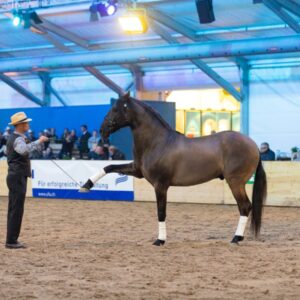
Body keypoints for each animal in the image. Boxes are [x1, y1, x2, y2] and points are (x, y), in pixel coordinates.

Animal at [79, 92, 268, 246]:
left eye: (116, 109)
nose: (102, 130)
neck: (157, 142)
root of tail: (253, 145)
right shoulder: (137, 171)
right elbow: (109, 166)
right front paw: (85, 186)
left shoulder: (160, 185)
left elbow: (161, 212)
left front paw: (160, 240)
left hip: (235, 182)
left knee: (245, 206)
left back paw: (236, 238)